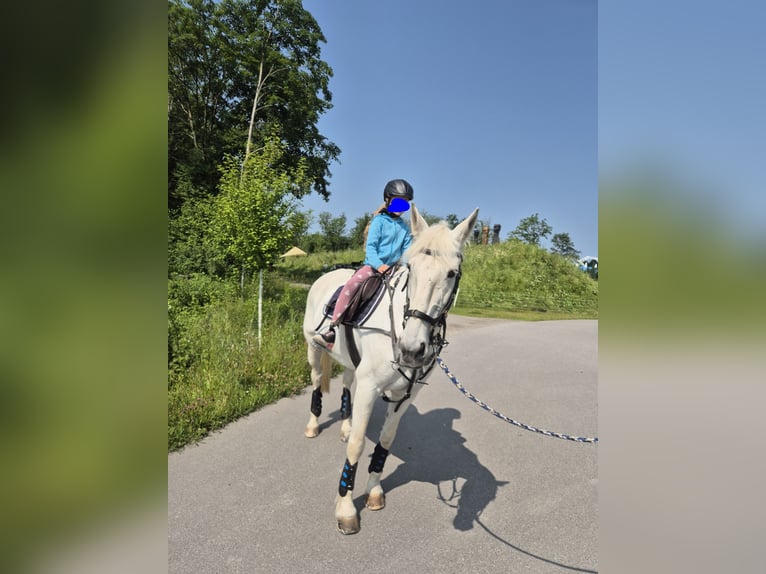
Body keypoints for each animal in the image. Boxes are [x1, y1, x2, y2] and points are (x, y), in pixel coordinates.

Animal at [301, 204, 479, 534]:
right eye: (411, 270)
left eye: (452, 273)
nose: (411, 350)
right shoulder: (370, 387)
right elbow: (358, 445)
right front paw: (346, 509)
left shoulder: (405, 396)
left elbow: (384, 442)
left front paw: (373, 491)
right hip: (313, 349)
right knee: (317, 381)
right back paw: (313, 425)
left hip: (351, 362)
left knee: (346, 383)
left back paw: (344, 424)